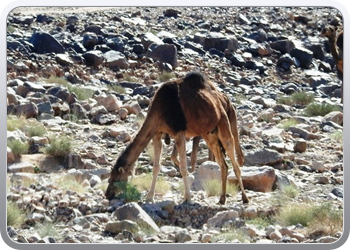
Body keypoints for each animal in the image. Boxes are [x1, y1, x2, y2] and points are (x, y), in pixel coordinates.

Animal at [105, 71, 250, 204]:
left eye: (116, 178)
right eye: (110, 177)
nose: (107, 194)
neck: (160, 109)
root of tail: (223, 99)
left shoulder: (179, 133)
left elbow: (183, 167)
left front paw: (188, 198)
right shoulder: (157, 133)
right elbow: (156, 167)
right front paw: (150, 197)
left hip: (224, 122)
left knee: (235, 160)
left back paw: (245, 198)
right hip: (210, 134)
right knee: (223, 165)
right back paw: (222, 199)